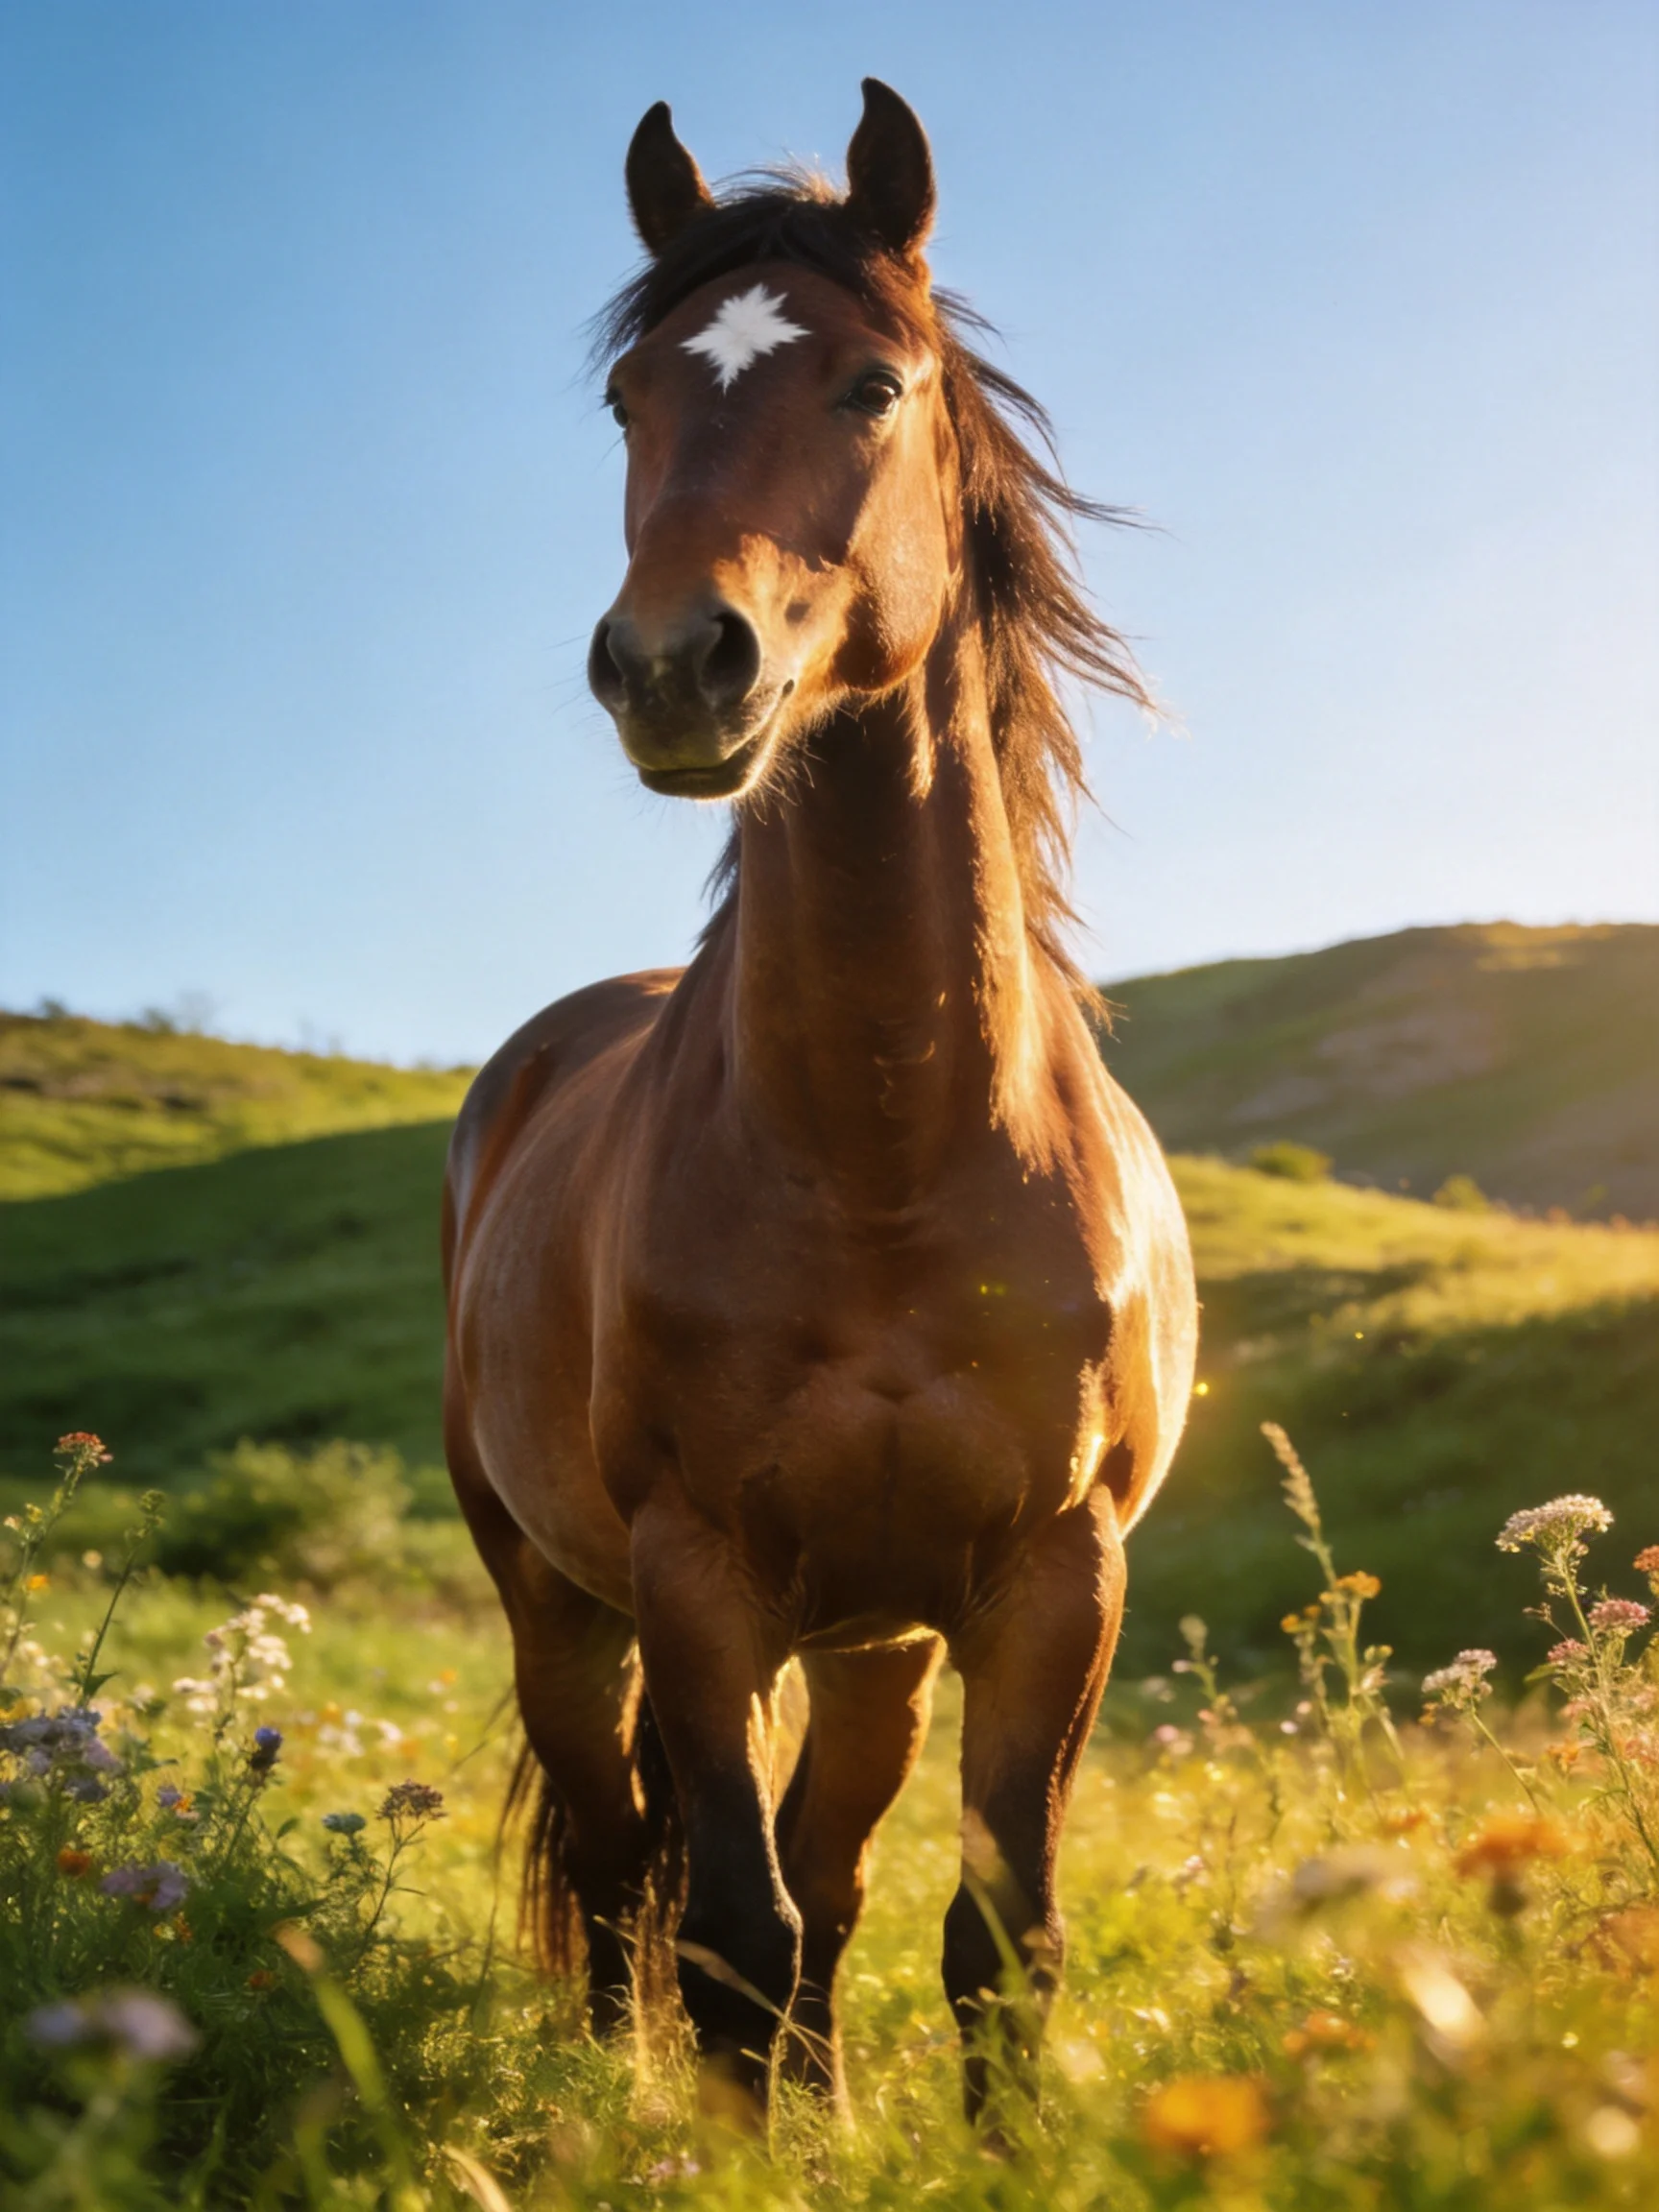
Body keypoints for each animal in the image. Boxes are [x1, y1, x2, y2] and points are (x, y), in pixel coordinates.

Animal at [442, 80, 1197, 2127]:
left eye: (872, 384)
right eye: (627, 397)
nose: (667, 664)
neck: (884, 1148)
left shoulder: (1047, 1585)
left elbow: (984, 1934)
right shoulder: (695, 1577)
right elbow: (724, 1924)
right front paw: (721, 2134)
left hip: (875, 1645)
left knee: (826, 1872)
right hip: (557, 1594)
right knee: (621, 1858)